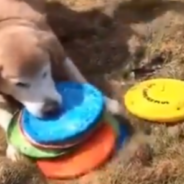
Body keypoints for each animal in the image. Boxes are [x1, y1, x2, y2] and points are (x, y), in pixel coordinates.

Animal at [0, 0, 121, 161]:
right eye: (20, 84)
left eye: (45, 72)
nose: (51, 109)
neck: (6, 24)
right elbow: (5, 117)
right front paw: (13, 147)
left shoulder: (60, 56)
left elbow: (80, 79)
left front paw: (108, 102)